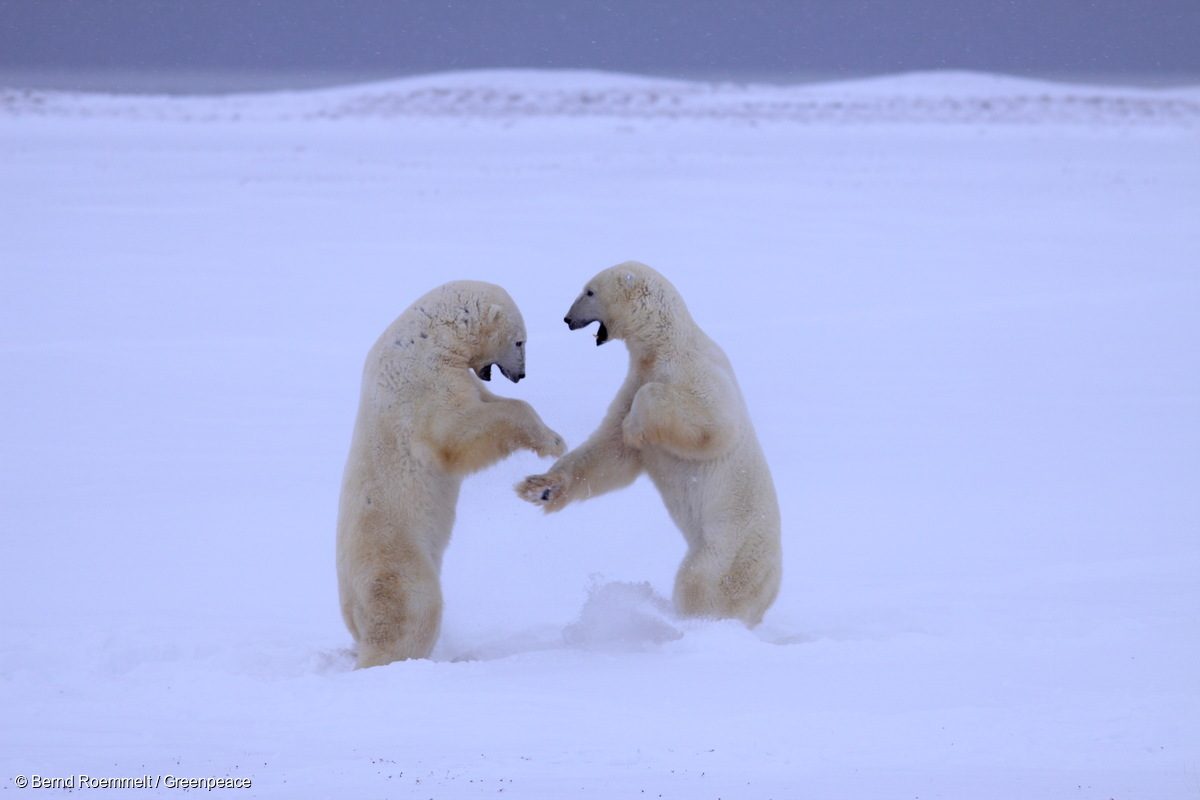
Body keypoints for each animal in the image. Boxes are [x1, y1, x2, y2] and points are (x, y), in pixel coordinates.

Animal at [337, 280, 565, 668]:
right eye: (520, 341)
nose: (521, 375)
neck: (429, 337)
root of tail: (353, 603)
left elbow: (487, 399)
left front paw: (555, 437)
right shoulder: (423, 382)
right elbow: (461, 431)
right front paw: (551, 443)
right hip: (397, 561)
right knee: (412, 612)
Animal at [516, 261, 781, 626]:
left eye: (589, 291)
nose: (567, 319)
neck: (664, 344)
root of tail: (772, 590)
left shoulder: (695, 373)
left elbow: (712, 423)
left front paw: (635, 426)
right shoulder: (635, 378)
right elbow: (610, 452)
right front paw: (539, 487)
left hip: (731, 546)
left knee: (702, 581)